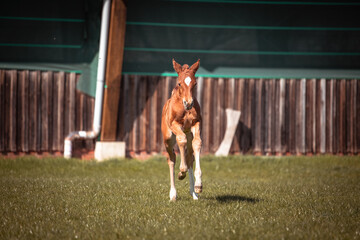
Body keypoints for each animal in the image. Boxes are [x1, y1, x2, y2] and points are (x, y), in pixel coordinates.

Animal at [161, 58, 202, 201]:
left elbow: (197, 144)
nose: (188, 103)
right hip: (168, 138)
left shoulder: (196, 124)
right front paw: (181, 172)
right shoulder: (175, 124)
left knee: (189, 157)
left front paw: (198, 186)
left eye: (195, 83)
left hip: (189, 133)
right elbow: (181, 140)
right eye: (179, 83)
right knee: (171, 158)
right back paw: (173, 194)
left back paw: (193, 193)